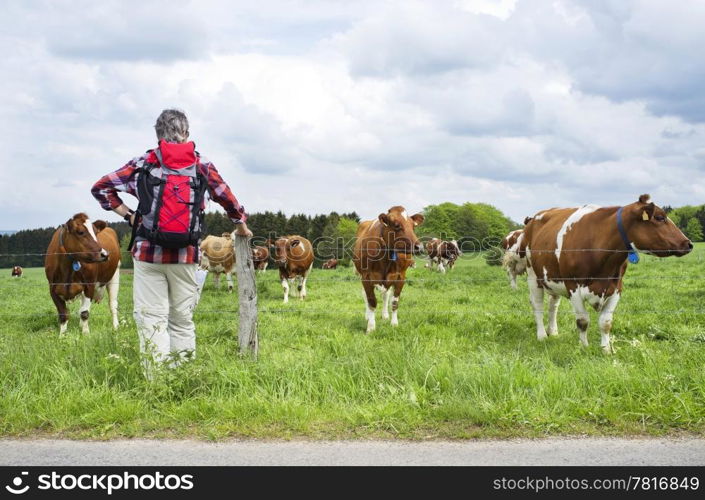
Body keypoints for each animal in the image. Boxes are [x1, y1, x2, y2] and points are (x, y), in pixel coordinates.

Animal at [352, 205, 424, 334]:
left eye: (413, 225)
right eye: (396, 225)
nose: (419, 247)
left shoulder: (400, 277)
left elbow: (394, 302)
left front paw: (394, 324)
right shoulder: (366, 277)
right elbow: (371, 301)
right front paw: (371, 327)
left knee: (386, 295)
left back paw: (385, 315)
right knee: (365, 295)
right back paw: (367, 316)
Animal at [520, 193, 692, 354]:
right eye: (659, 217)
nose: (688, 244)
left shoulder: (616, 287)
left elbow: (606, 322)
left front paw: (606, 350)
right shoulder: (573, 286)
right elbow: (583, 321)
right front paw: (584, 347)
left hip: (551, 277)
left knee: (553, 304)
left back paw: (553, 332)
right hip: (532, 275)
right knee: (537, 304)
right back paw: (542, 335)